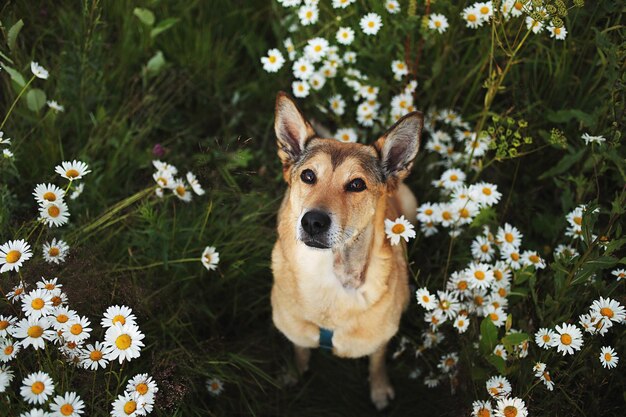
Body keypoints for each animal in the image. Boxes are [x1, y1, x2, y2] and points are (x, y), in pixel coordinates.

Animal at [268, 92, 420, 410]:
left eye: (357, 184)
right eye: (308, 176)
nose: (313, 221)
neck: (326, 273)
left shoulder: (378, 340)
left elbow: (377, 362)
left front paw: (379, 389)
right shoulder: (296, 333)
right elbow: (300, 351)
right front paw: (294, 373)